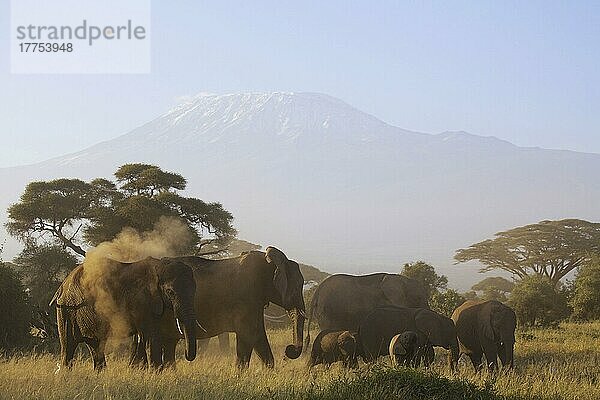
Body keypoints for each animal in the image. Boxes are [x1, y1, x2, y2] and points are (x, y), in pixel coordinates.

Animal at [51, 258, 197, 370]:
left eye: (194, 291)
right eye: (170, 292)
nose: (186, 355)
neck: (159, 267)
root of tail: (62, 285)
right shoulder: (141, 301)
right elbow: (151, 337)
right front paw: (156, 374)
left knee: (96, 345)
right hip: (66, 310)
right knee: (68, 346)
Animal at [159, 247, 304, 368]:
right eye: (298, 286)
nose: (288, 350)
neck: (268, 261)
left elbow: (258, 335)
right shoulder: (246, 297)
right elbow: (248, 334)